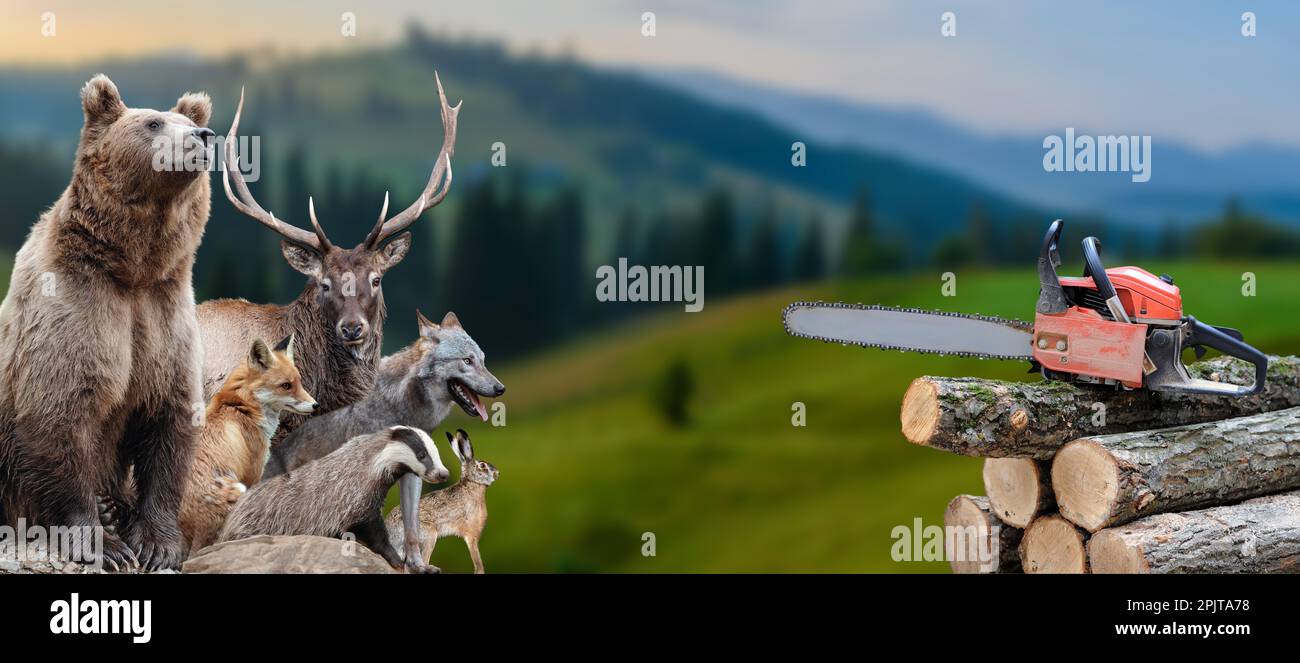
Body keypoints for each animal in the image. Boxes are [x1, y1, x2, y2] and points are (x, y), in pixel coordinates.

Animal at [0, 72, 215, 569]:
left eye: (185, 120)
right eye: (154, 123)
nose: (202, 136)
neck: (132, 269)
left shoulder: (163, 315)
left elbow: (170, 419)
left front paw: (156, 543)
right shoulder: (75, 307)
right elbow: (60, 414)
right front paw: (102, 542)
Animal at [179, 335, 315, 553]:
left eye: (299, 382)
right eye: (286, 385)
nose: (315, 405)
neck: (242, 408)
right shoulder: (253, 473)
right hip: (240, 490)